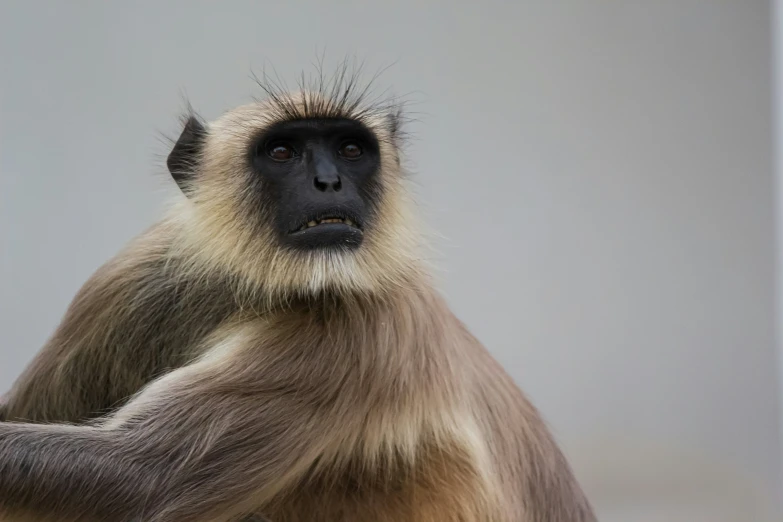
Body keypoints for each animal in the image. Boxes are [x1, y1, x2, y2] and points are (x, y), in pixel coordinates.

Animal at [0, 67, 596, 516]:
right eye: (283, 152)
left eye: (351, 149)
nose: (329, 183)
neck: (260, 283)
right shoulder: (131, 278)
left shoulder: (359, 325)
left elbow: (138, 481)